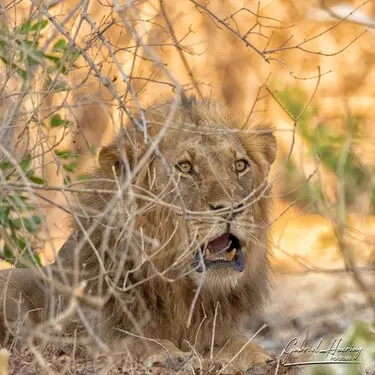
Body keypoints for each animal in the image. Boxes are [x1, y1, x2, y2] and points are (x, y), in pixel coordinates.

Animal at [0, 94, 276, 374]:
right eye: (185, 167)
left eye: (240, 165)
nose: (232, 208)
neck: (181, 291)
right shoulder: (84, 336)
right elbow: (133, 341)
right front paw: (168, 354)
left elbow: (239, 343)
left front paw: (261, 357)